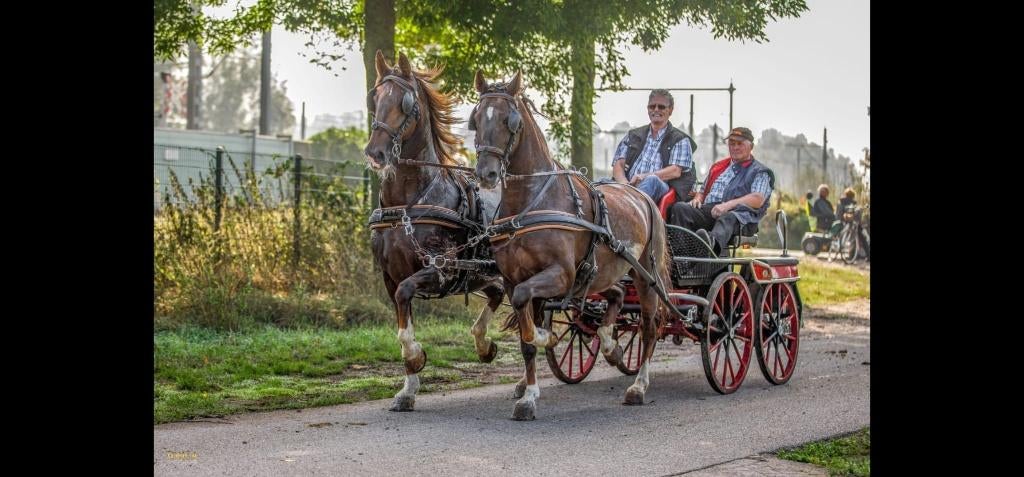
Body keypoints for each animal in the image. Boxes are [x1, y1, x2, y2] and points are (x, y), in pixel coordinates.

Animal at [363, 51, 505, 412]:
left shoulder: (440, 270)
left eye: (406, 102)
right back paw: (485, 346)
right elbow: (403, 322)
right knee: (498, 293)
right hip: (482, 274)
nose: (375, 153)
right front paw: (408, 389)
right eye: (375, 98)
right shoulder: (390, 276)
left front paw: (416, 358)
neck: (408, 202)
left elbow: (405, 299)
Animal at [469, 70, 675, 420]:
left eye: (511, 120)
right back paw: (610, 345)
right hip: (600, 273)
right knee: (617, 297)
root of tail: (641, 194)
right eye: (476, 119)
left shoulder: (561, 275)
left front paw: (544, 339)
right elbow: (525, 336)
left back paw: (638, 385)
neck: (532, 203)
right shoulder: (513, 279)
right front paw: (528, 392)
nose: (487, 173)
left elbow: (528, 320)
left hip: (645, 275)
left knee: (649, 325)